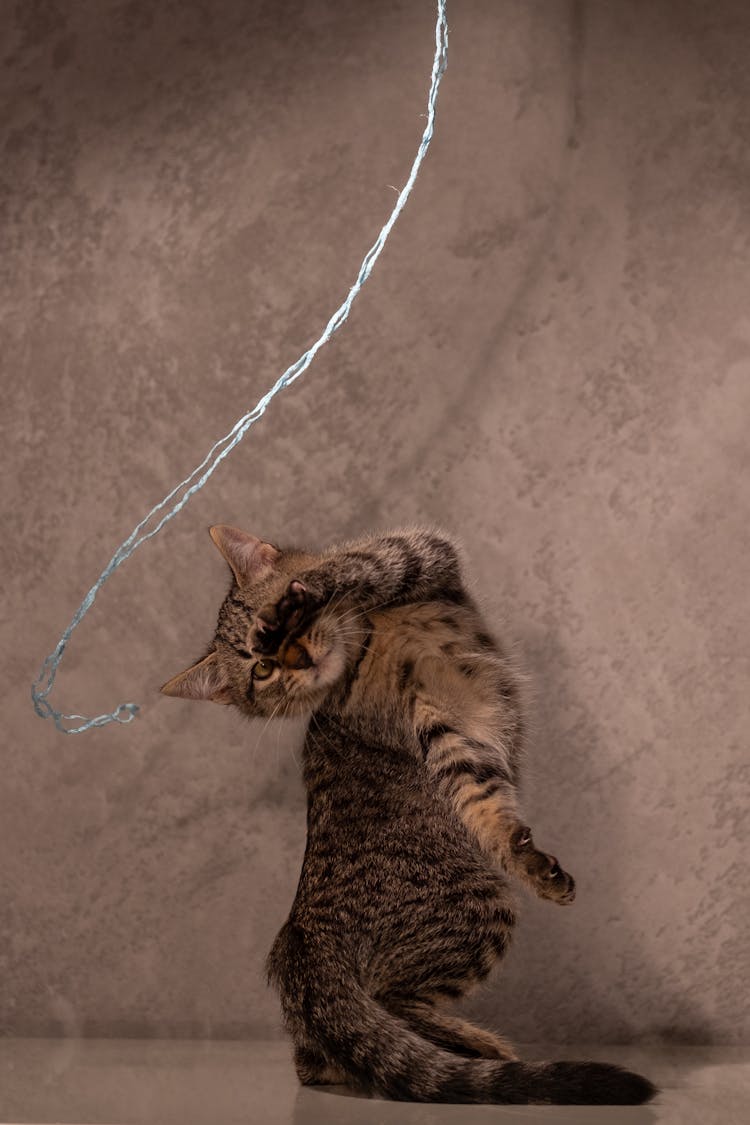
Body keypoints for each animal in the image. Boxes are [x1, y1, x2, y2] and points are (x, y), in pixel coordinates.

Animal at [161, 526, 652, 1107]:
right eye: (262, 671)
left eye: (275, 646)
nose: (297, 657)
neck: (365, 646)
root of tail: (301, 944)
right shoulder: (439, 729)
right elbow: (476, 790)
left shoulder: (425, 557)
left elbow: (357, 565)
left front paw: (299, 598)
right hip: (478, 908)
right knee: (389, 1006)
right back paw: (481, 1045)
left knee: (320, 1059)